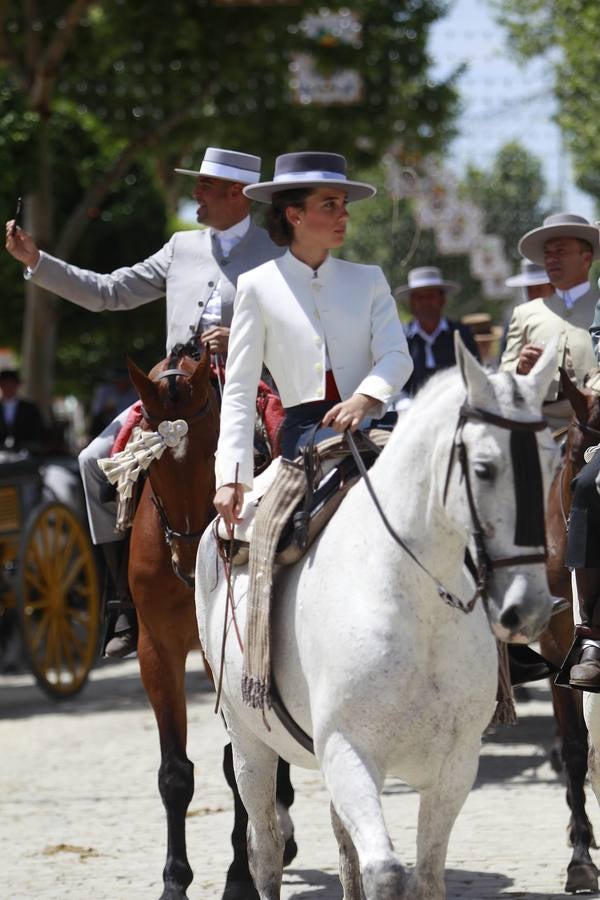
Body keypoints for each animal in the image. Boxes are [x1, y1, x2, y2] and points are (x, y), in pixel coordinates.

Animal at [127, 342, 296, 896]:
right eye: (150, 462)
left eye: (213, 453)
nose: (186, 558)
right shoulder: (156, 652)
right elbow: (175, 773)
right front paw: (174, 881)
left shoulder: (224, 656)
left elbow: (235, 766)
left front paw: (239, 878)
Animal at [196, 340, 556, 900]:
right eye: (484, 468)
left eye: (551, 460)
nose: (531, 607)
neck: (416, 607)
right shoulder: (350, 751)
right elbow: (384, 870)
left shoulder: (456, 767)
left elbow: (425, 874)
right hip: (250, 741)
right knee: (266, 849)